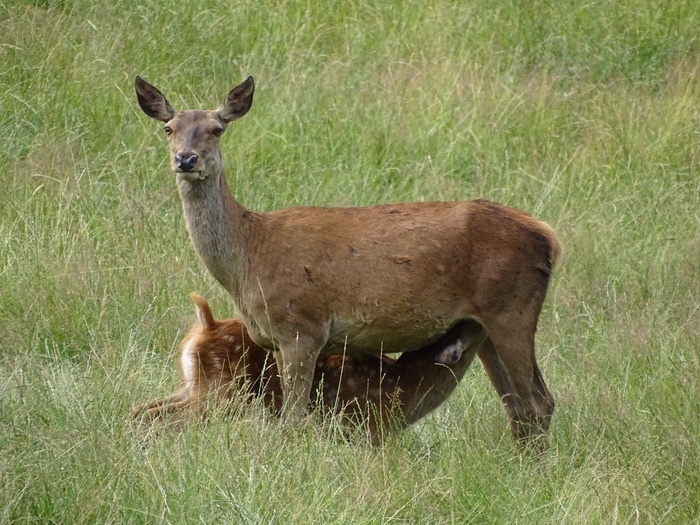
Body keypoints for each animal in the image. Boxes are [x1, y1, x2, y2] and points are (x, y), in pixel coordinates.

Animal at [134, 292, 490, 440]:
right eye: (467, 325)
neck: (405, 386)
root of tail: (205, 325)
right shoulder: (365, 428)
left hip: (192, 384)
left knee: (142, 410)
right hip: (222, 394)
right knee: (160, 417)